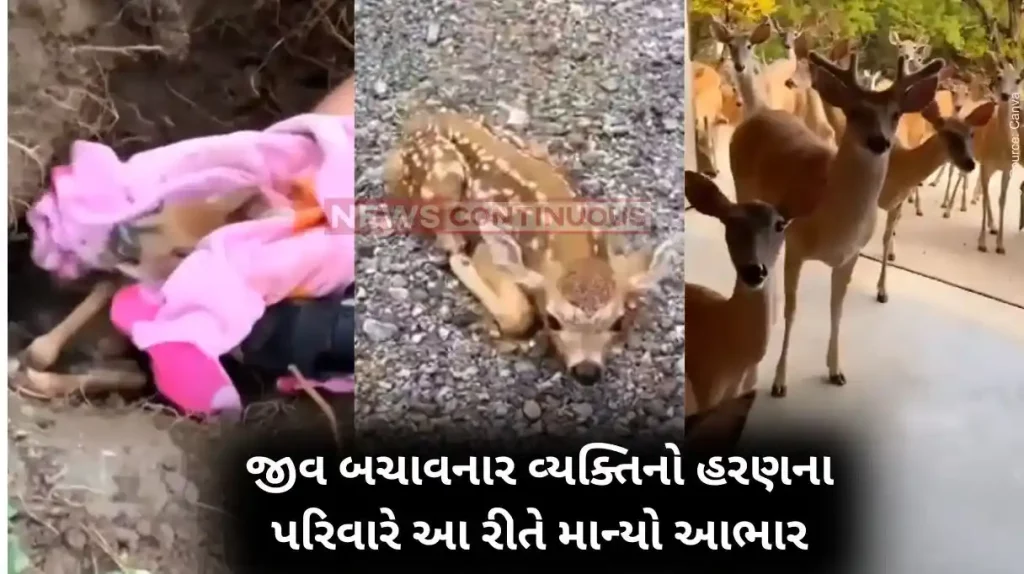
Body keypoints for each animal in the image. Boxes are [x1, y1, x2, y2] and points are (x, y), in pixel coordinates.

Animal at [383, 112, 677, 386]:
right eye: (552, 320)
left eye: (616, 322)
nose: (587, 371)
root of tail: (423, 119)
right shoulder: (490, 248)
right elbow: (518, 314)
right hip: (440, 172)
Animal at [729, 44, 945, 398]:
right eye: (854, 112)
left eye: (896, 114)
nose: (879, 141)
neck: (834, 221)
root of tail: (759, 112)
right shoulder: (797, 246)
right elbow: (792, 311)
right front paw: (779, 381)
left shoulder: (850, 256)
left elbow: (837, 310)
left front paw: (835, 370)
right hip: (740, 187)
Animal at [874, 98, 997, 304]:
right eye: (946, 132)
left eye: (972, 134)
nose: (970, 163)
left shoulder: (897, 202)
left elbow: (886, 236)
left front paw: (882, 291)